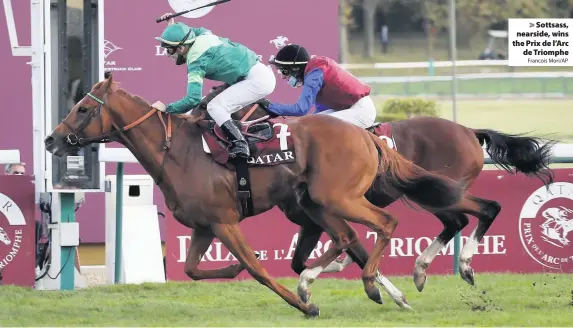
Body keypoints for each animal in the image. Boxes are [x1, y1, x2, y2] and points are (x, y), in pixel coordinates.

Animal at [44, 73, 482, 316]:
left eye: (82, 108)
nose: (51, 139)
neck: (177, 151)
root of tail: (366, 136)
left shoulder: (224, 221)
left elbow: (257, 269)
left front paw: (305, 304)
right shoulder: (204, 226)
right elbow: (192, 270)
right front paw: (232, 270)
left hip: (338, 199)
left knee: (385, 223)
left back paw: (377, 282)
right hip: (318, 203)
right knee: (348, 236)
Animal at [201, 83, 556, 304]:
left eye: (207, 107)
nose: (202, 123)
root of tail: (470, 131)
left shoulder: (318, 215)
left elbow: (337, 252)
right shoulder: (312, 218)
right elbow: (303, 259)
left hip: (437, 190)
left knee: (483, 210)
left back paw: (464, 265)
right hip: (430, 193)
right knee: (456, 221)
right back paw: (421, 271)